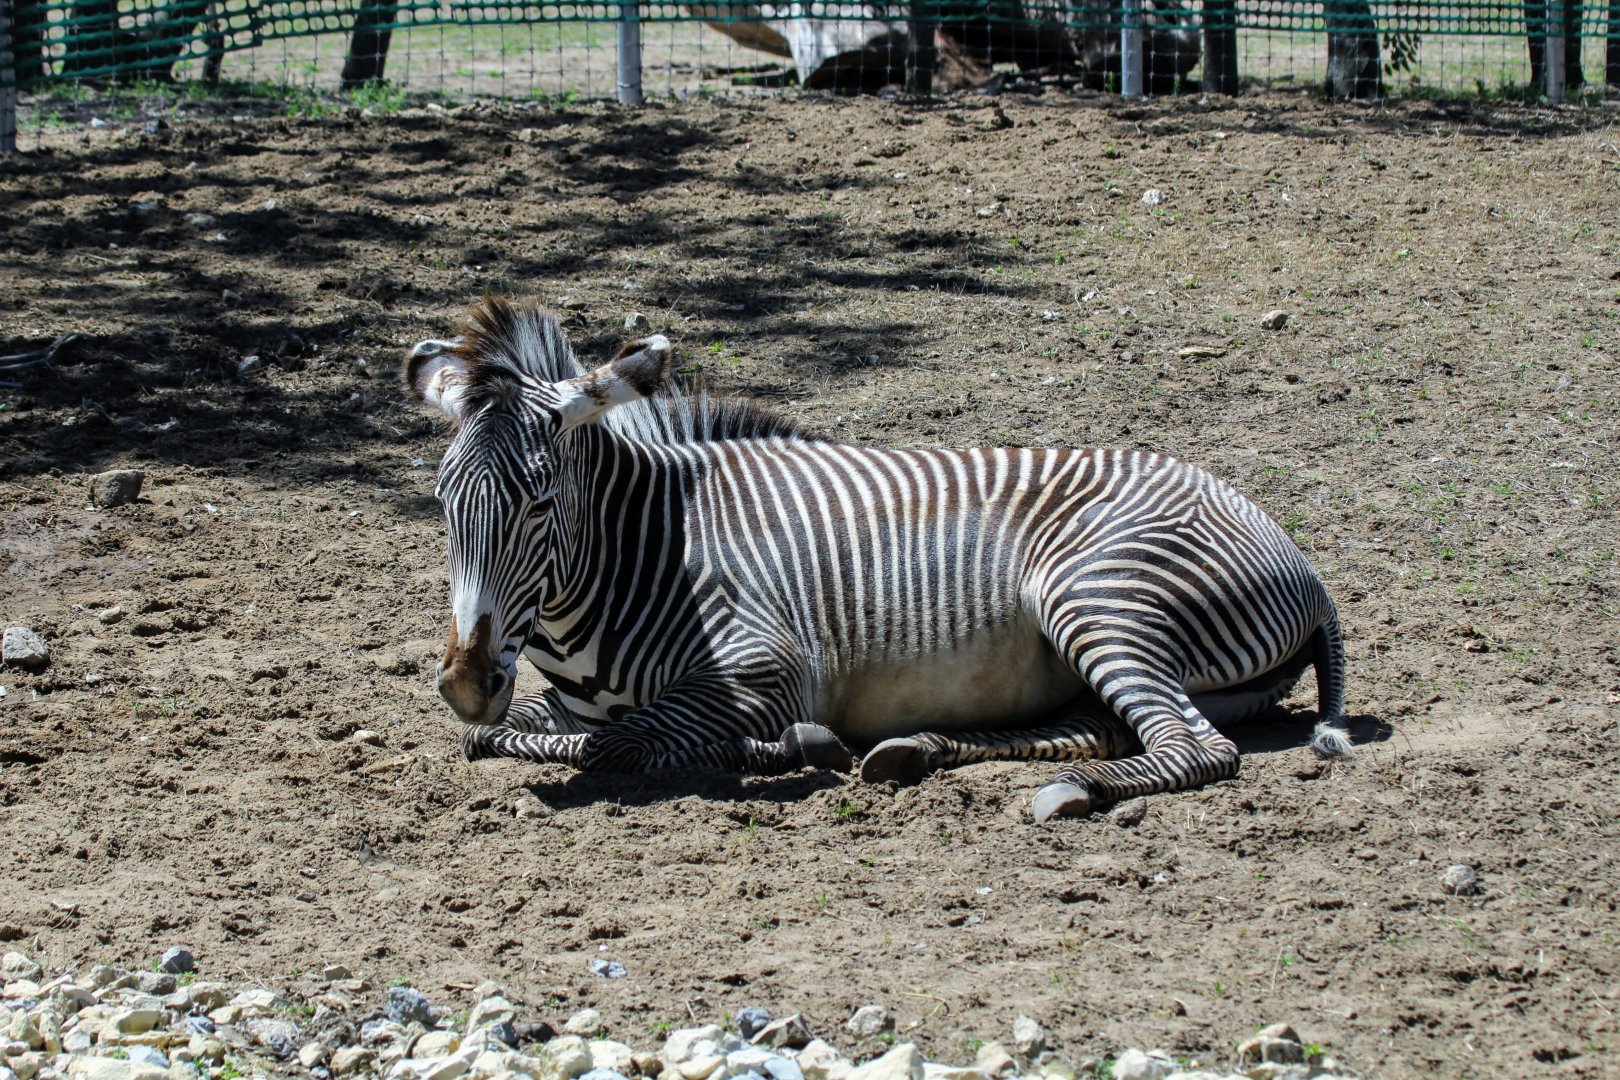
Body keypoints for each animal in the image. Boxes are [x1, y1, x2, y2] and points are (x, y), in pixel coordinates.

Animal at [407, 299, 1351, 822]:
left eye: (537, 504)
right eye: (443, 504)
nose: (464, 681)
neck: (646, 551)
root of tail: (1297, 556)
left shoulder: (767, 666)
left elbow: (620, 744)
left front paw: (783, 748)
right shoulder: (555, 700)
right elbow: (495, 735)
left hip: (1098, 594)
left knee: (1196, 748)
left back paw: (1071, 787)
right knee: (1112, 723)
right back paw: (916, 750)